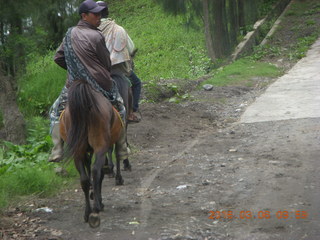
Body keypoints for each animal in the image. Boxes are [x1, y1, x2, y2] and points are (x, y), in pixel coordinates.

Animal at [59, 79, 127, 228]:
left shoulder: (86, 152)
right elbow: (101, 171)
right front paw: (99, 200)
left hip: (78, 151)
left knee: (84, 179)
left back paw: (87, 212)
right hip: (100, 146)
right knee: (97, 171)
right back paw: (96, 210)